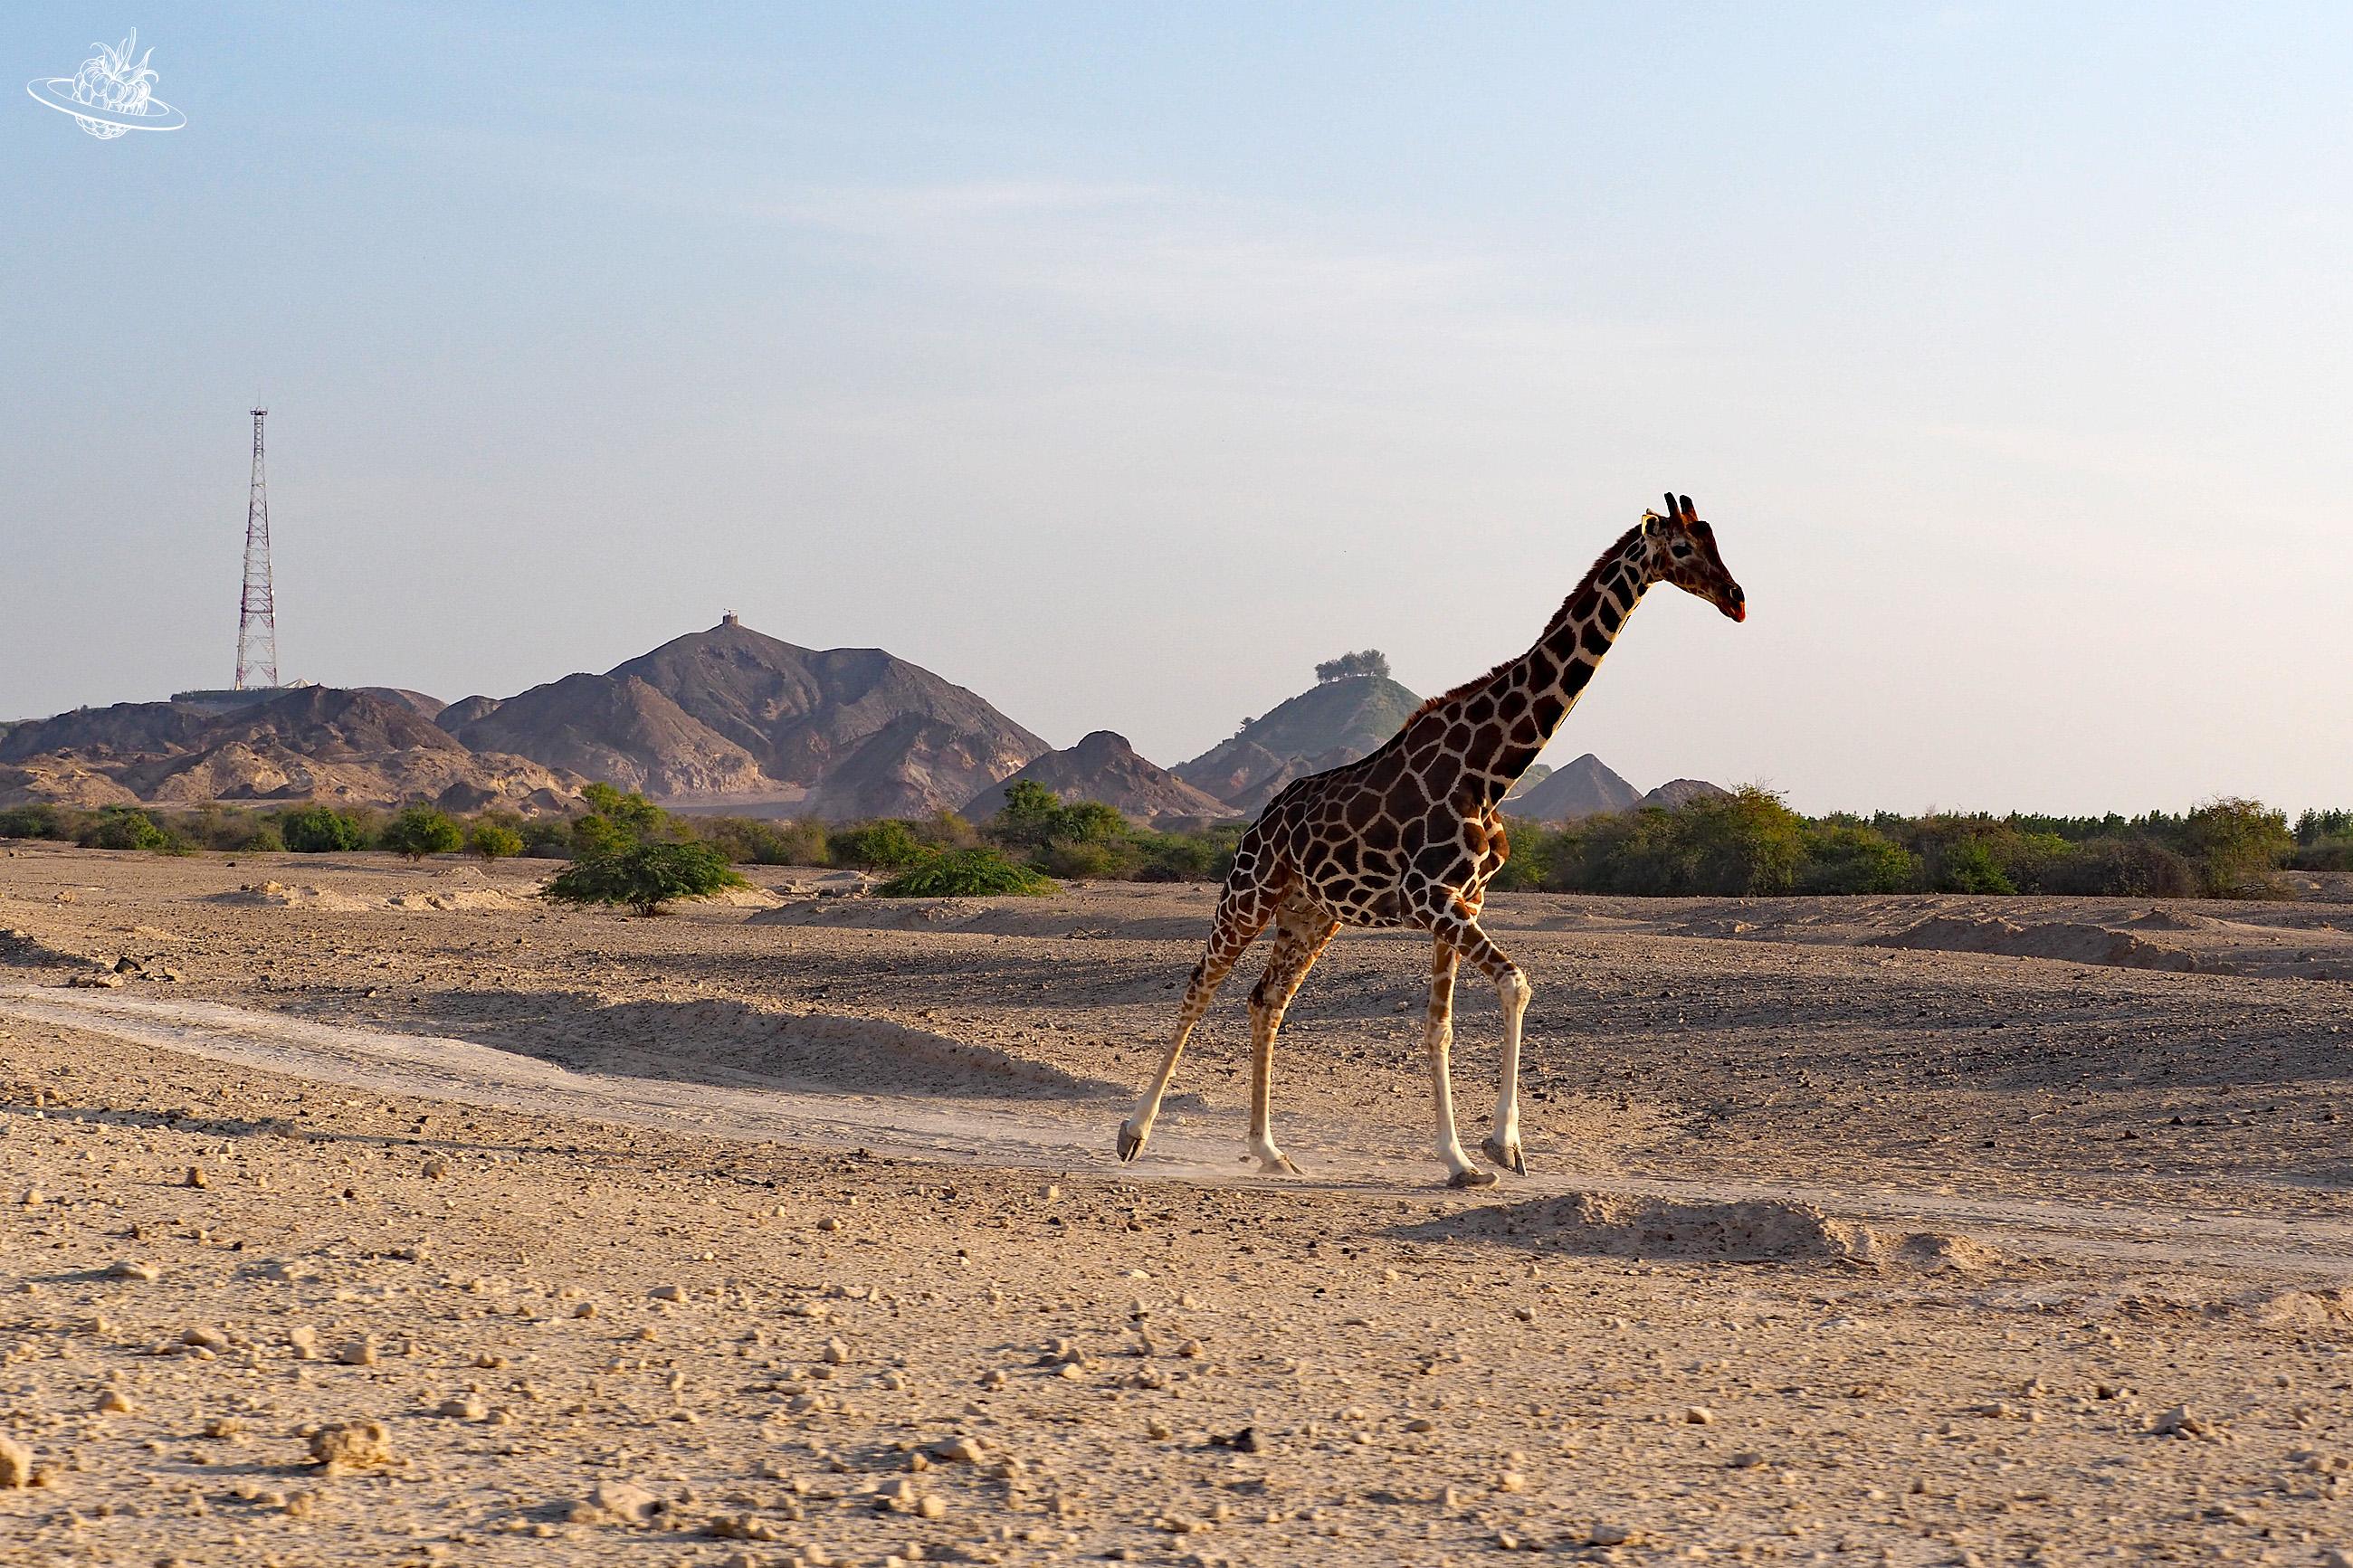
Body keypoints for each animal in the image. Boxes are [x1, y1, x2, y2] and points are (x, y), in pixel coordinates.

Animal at [1117, 493, 1747, 1187]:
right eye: (1684, 548)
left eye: (1717, 541)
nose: (1737, 598)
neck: (1490, 772)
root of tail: (1262, 816)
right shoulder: (1428, 898)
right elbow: (1515, 983)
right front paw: (1501, 1145)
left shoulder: (1462, 902)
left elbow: (1440, 1027)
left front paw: (1463, 1160)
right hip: (1249, 892)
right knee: (1200, 986)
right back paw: (1134, 1132)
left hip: (1312, 915)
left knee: (1265, 1001)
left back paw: (1270, 1150)